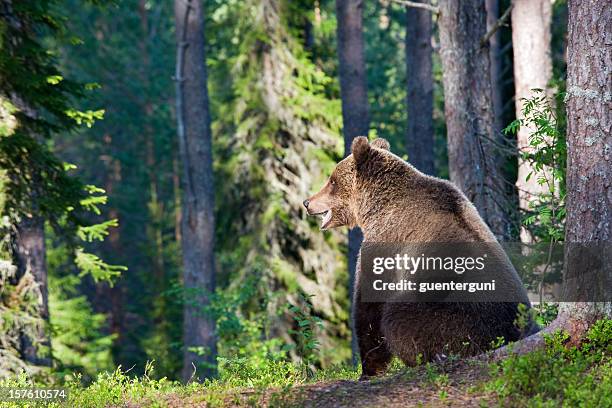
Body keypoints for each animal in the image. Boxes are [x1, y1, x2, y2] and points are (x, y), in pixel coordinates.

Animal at [304, 137, 536, 380]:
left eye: (332, 180)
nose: (307, 202)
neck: (375, 207)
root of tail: (513, 334)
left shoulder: (386, 243)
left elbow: (370, 307)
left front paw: (368, 370)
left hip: (457, 314)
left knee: (398, 318)